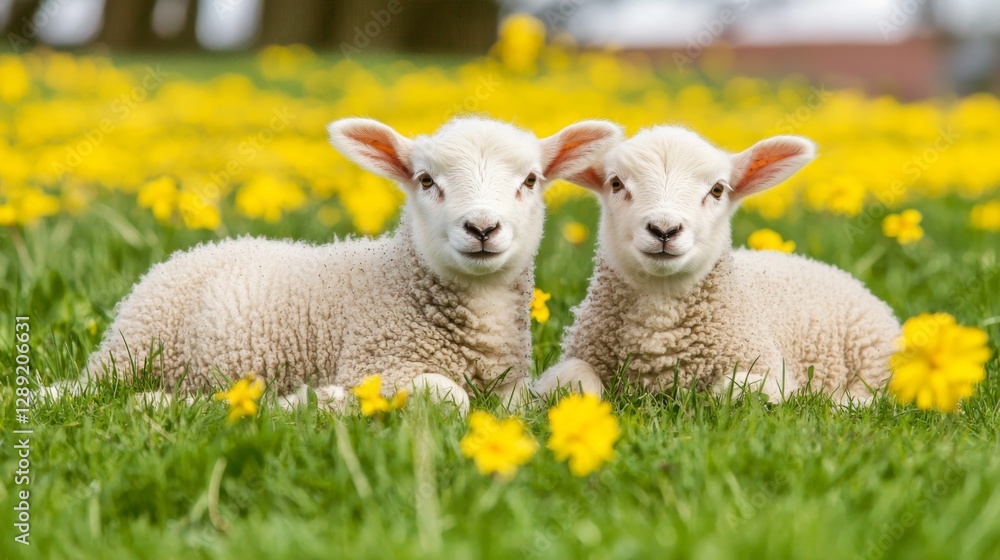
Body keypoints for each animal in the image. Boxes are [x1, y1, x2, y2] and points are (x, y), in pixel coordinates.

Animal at [46, 116, 623, 412]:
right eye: (425, 180)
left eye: (530, 180)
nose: (482, 228)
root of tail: (193, 251)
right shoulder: (376, 365)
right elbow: (450, 397)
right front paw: (316, 399)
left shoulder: (511, 381)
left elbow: (579, 386)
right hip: (133, 352)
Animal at [533, 125, 900, 404]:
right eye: (616, 183)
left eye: (718, 189)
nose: (664, 230)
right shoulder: (571, 363)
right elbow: (577, 383)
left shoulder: (768, 372)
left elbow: (730, 392)